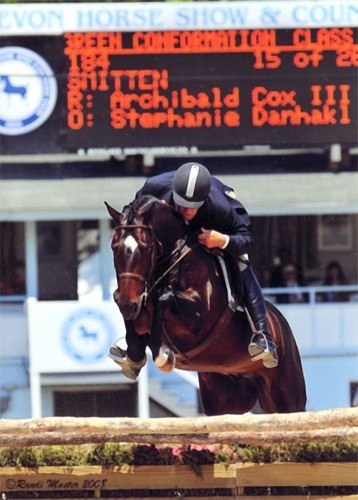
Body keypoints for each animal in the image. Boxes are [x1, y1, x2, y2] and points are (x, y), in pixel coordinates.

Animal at [105, 195, 306, 414]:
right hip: (224, 397)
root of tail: (281, 325)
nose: (129, 305)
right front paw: (134, 354)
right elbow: (124, 302)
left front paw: (162, 355)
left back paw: (263, 343)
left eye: (146, 247)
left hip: (286, 397)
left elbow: (164, 297)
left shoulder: (197, 318)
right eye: (114, 247)